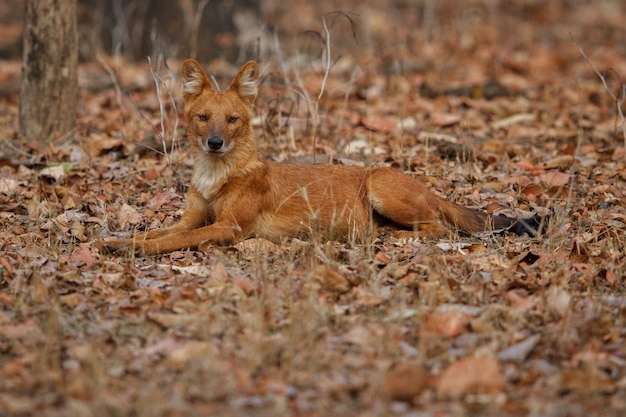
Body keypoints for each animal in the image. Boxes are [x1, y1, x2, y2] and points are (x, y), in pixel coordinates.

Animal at [98, 58, 540, 254]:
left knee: (441, 229)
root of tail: (431, 189)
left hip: (380, 183)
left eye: (233, 119)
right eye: (203, 118)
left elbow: (178, 239)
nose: (215, 142)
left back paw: (391, 235)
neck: (215, 173)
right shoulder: (193, 216)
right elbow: (160, 232)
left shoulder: (229, 228)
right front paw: (118, 242)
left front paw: (131, 249)